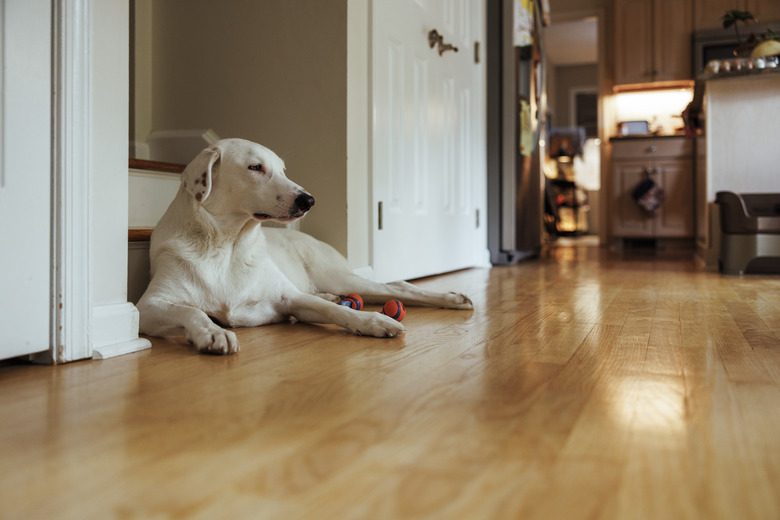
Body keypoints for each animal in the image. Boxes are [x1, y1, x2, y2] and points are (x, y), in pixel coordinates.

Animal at [137, 139, 472, 354]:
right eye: (255, 167)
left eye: (283, 170)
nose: (308, 200)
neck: (227, 245)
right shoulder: (149, 306)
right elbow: (192, 311)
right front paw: (212, 331)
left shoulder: (290, 298)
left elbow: (336, 312)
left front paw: (372, 321)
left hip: (339, 276)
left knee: (397, 287)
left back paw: (452, 298)